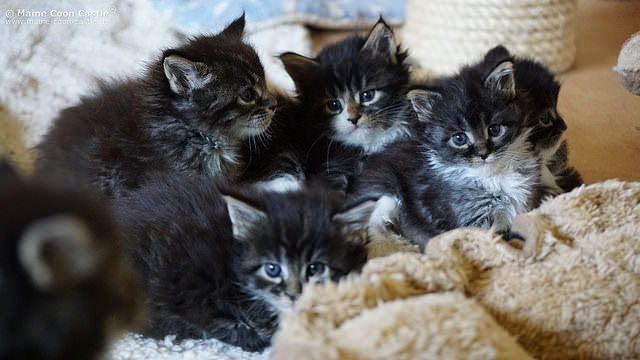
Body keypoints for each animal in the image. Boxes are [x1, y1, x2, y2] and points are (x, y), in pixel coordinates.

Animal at [352, 47, 544, 248]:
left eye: (495, 129)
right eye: (459, 138)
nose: (483, 154)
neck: (494, 178)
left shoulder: (524, 204)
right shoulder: (472, 219)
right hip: (387, 197)